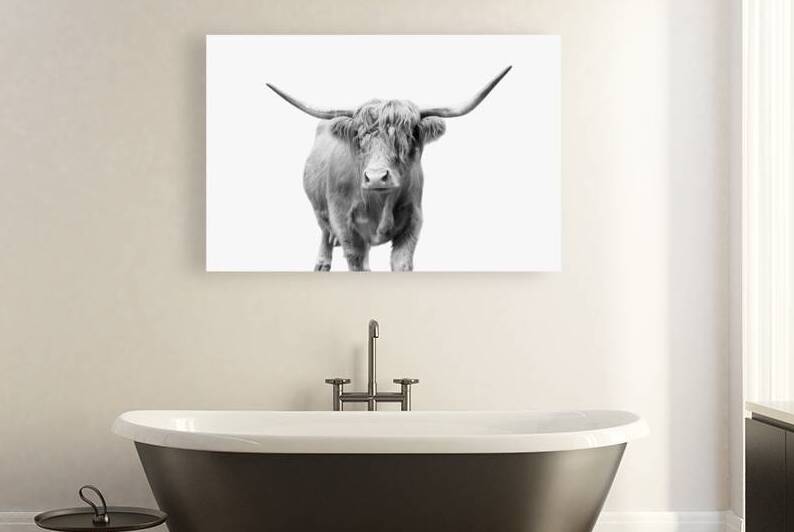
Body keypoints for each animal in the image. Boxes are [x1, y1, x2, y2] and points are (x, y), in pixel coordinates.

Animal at [266, 66, 511, 271]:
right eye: (359, 137)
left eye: (407, 137)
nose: (376, 177)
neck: (379, 204)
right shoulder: (344, 225)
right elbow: (355, 260)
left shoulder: (413, 221)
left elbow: (401, 263)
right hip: (321, 210)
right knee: (325, 231)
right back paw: (322, 264)